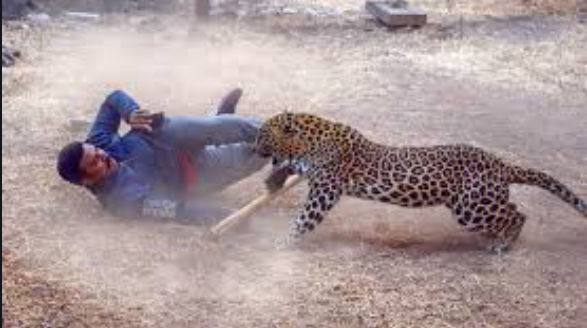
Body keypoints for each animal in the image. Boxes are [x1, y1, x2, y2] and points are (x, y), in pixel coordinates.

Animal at [256, 111, 587, 252]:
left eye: (262, 134)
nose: (253, 147)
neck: (308, 142)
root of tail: (500, 164)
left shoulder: (324, 190)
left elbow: (303, 220)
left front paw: (281, 243)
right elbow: (291, 166)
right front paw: (274, 178)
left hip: (471, 207)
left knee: (518, 213)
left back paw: (504, 244)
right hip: (473, 204)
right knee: (513, 209)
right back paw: (498, 238)